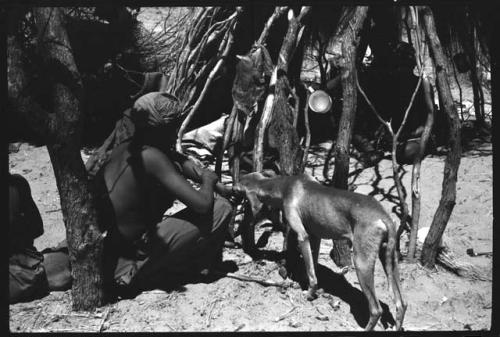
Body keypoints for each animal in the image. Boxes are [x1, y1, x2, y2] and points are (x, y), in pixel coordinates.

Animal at [234, 172, 406, 330]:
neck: (285, 186)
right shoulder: (315, 237)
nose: (231, 186)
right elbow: (313, 266)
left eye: (239, 183)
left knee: (376, 310)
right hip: (390, 260)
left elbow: (311, 273)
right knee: (401, 304)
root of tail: (384, 216)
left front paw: (309, 294)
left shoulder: (303, 236)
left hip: (361, 263)